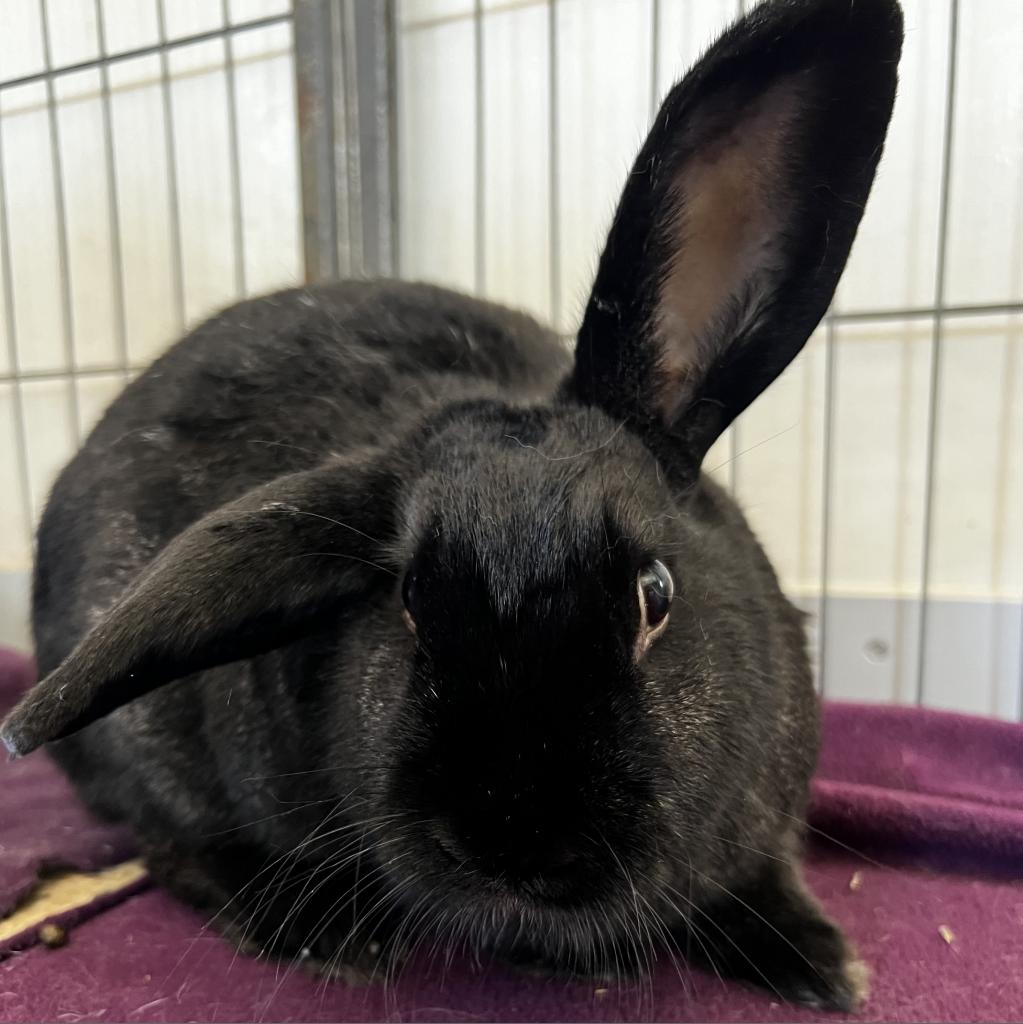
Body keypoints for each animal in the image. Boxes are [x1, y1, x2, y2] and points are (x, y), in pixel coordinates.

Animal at [6, 0, 905, 1007]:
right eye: (406, 603)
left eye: (655, 594)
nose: (514, 843)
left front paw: (823, 965)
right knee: (171, 846)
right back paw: (320, 931)